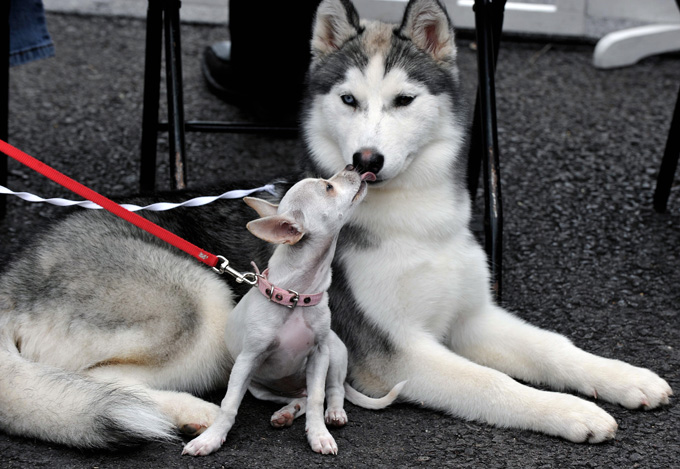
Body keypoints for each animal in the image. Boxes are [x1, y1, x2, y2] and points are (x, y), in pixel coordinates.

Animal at [182, 166, 404, 456]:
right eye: (328, 187)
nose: (352, 167)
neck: (296, 296)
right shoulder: (247, 360)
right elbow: (229, 404)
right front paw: (210, 438)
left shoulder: (320, 354)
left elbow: (318, 398)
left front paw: (319, 435)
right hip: (261, 388)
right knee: (302, 398)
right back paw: (286, 412)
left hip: (335, 353)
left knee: (332, 391)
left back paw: (333, 413)